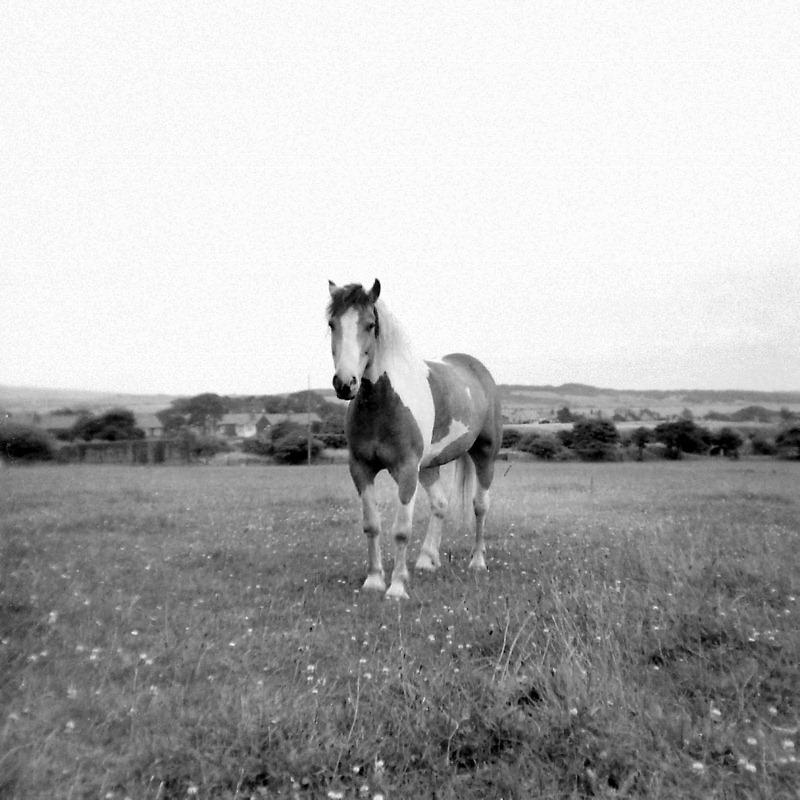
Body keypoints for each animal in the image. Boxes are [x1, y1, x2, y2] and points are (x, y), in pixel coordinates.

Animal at [324, 278, 500, 596]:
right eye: (332, 324)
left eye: (370, 324)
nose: (345, 384)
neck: (384, 402)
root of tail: (475, 367)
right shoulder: (361, 468)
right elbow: (372, 525)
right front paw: (374, 580)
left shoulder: (406, 470)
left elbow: (402, 530)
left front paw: (396, 588)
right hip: (429, 466)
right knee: (440, 504)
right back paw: (427, 560)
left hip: (485, 455)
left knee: (480, 506)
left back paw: (477, 562)